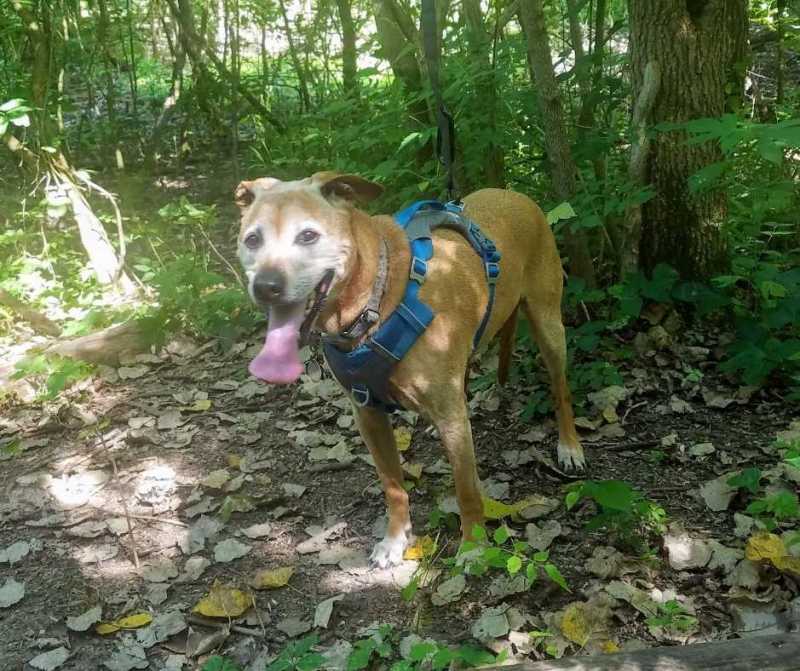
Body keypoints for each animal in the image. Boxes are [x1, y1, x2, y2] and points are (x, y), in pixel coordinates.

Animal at [234, 172, 584, 568]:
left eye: (308, 235)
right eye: (252, 239)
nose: (266, 286)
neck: (377, 299)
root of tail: (514, 195)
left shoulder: (450, 421)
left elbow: (466, 489)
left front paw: (473, 546)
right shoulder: (368, 415)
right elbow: (393, 486)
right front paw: (395, 540)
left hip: (548, 324)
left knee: (560, 388)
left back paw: (570, 446)